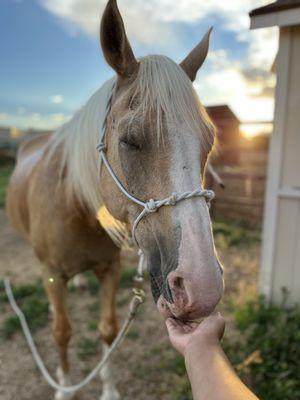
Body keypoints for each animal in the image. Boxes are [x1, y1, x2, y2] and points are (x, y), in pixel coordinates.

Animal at [6, 0, 223, 400]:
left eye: (209, 141)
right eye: (129, 139)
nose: (203, 287)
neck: (75, 206)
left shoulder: (109, 269)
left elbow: (107, 329)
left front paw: (107, 389)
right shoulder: (51, 273)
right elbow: (62, 333)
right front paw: (64, 387)